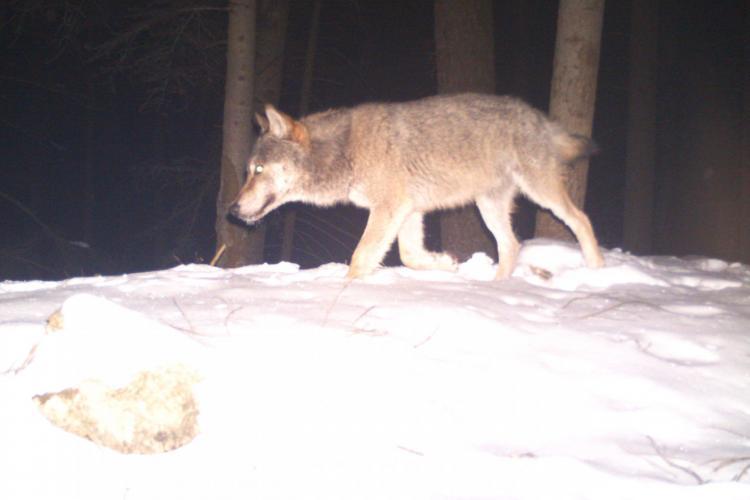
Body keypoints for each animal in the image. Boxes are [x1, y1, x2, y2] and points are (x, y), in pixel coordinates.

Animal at [229, 93, 604, 279]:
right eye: (248, 171)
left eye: (258, 170)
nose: (231, 209)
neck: (345, 151)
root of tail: (540, 118)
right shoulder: (408, 212)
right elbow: (409, 257)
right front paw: (446, 264)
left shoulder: (389, 209)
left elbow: (360, 258)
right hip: (488, 206)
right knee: (511, 245)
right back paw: (496, 288)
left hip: (540, 192)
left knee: (582, 219)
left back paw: (597, 270)